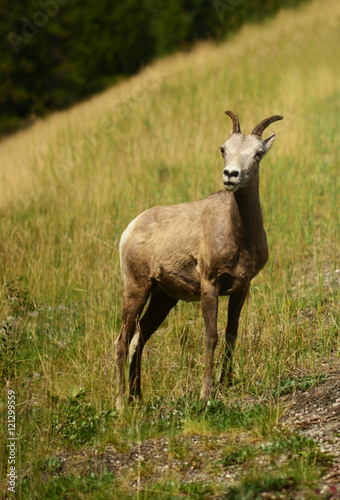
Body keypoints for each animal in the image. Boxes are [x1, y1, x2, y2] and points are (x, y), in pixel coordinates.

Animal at [115, 112, 282, 410]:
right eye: (223, 149)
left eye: (258, 153)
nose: (231, 175)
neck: (238, 235)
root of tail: (130, 228)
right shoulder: (209, 283)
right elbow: (211, 336)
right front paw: (206, 394)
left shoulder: (242, 288)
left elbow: (230, 333)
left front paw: (227, 383)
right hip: (136, 288)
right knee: (122, 340)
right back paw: (122, 404)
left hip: (163, 298)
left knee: (139, 338)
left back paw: (138, 398)